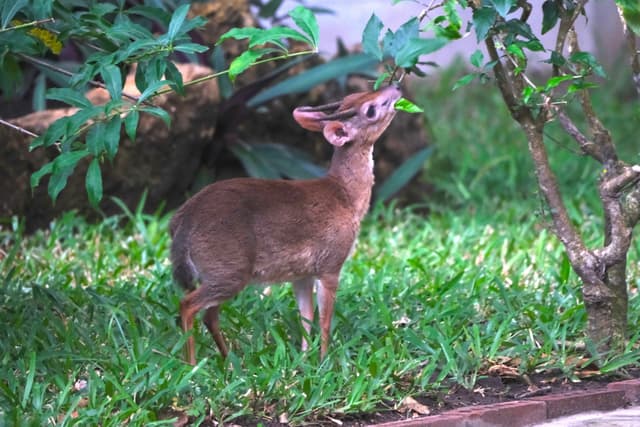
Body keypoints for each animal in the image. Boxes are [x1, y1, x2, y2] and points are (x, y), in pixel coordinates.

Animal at [169, 84, 402, 364]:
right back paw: (192, 366)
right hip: (229, 270)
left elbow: (306, 318)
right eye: (370, 110)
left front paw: (303, 360)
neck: (346, 197)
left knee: (209, 314)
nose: (396, 87)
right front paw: (325, 361)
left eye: (355, 95)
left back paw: (229, 362)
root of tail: (182, 223)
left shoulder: (302, 274)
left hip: (218, 272)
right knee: (188, 305)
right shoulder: (331, 264)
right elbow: (325, 321)